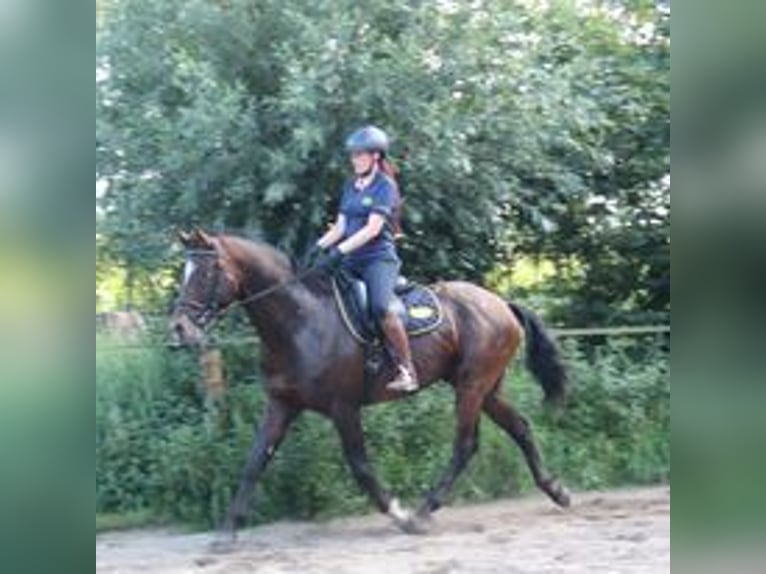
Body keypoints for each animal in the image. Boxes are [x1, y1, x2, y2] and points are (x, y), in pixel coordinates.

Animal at [171, 231, 572, 544]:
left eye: (207, 271)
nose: (178, 328)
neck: (298, 323)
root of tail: (500, 302)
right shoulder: (281, 404)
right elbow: (255, 461)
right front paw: (227, 530)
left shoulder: (344, 407)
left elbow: (361, 467)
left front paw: (399, 514)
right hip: (485, 387)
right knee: (520, 427)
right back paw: (556, 491)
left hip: (472, 387)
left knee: (465, 445)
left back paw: (423, 512)